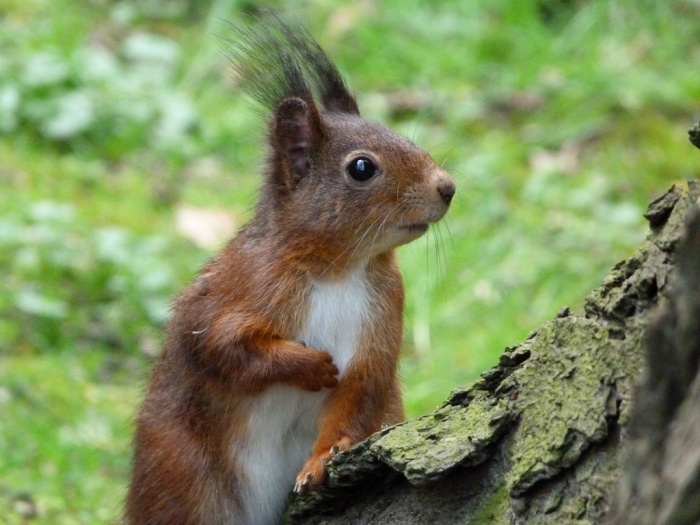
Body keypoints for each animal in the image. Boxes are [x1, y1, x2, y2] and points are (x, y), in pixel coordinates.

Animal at [125, 17, 455, 525]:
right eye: (362, 168)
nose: (447, 187)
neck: (340, 269)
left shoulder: (382, 318)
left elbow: (359, 395)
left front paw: (322, 460)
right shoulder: (234, 290)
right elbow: (224, 347)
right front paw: (309, 365)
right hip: (180, 476)